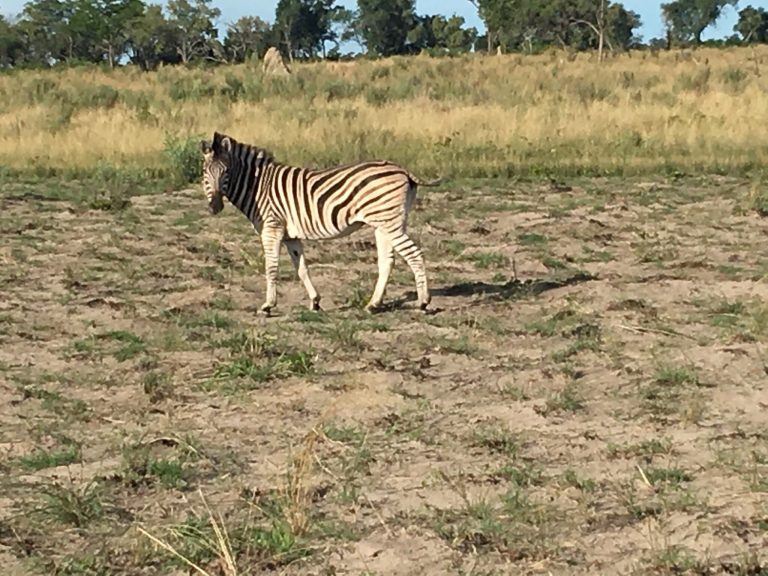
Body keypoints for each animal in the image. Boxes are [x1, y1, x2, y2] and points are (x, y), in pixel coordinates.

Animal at [200, 131, 442, 315]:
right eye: (204, 173)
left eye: (226, 172)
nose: (215, 207)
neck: (258, 186)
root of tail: (403, 169)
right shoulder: (291, 236)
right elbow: (302, 268)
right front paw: (315, 301)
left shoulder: (272, 229)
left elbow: (271, 267)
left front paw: (268, 305)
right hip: (384, 224)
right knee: (387, 261)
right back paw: (373, 304)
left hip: (390, 223)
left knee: (414, 254)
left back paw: (423, 302)